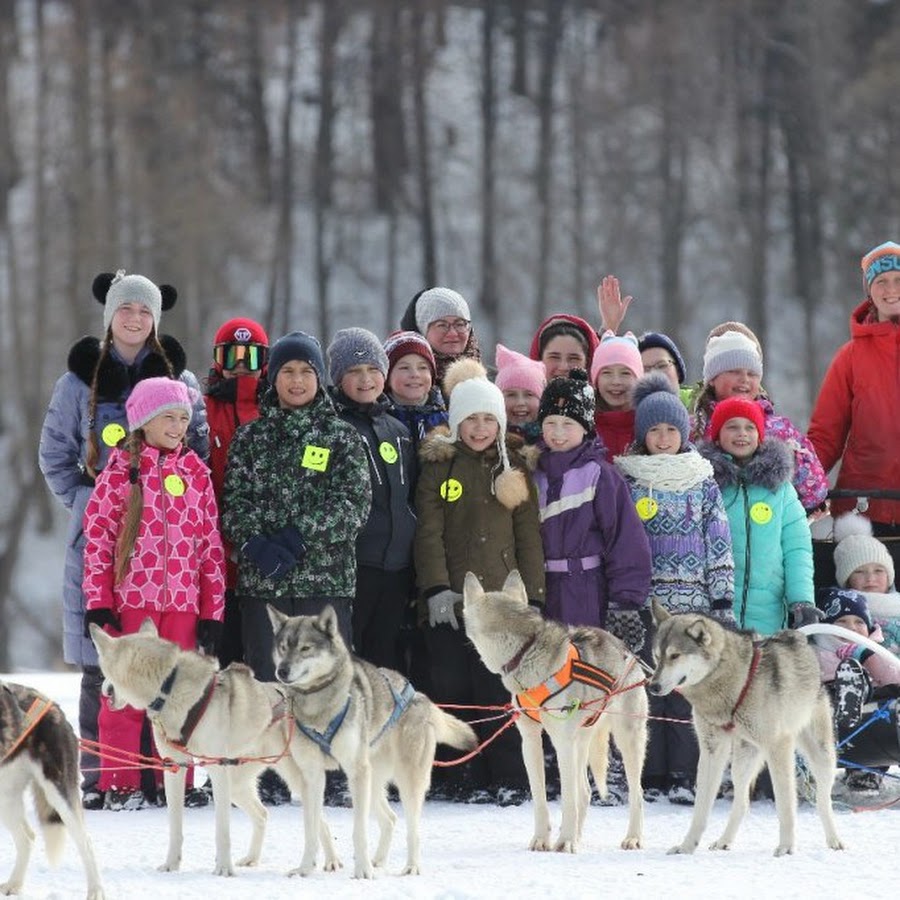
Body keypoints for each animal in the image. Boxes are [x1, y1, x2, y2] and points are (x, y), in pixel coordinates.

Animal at [0, 684, 103, 900]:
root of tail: (52, 704)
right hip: (5, 799)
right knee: (27, 838)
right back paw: (15, 883)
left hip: (59, 791)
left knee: (86, 841)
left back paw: (96, 890)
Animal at [89, 624, 340, 876]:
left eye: (103, 671)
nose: (103, 688)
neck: (168, 687)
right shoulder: (174, 767)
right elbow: (175, 826)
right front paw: (171, 864)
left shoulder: (218, 769)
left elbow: (222, 831)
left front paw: (223, 868)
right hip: (237, 783)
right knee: (262, 814)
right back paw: (252, 858)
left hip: (294, 778)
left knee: (320, 821)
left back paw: (331, 861)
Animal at [268, 604, 478, 880]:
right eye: (283, 647)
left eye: (305, 648)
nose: (281, 671)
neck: (317, 706)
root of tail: (421, 696)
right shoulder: (311, 775)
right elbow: (311, 829)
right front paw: (304, 868)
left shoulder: (355, 771)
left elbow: (359, 831)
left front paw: (363, 872)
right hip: (371, 780)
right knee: (390, 819)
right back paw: (378, 860)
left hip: (402, 780)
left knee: (413, 828)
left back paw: (410, 866)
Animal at [464, 572, 648, 856]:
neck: (525, 650)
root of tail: (625, 648)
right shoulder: (530, 740)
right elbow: (540, 798)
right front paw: (543, 839)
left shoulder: (562, 742)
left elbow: (567, 799)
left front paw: (567, 842)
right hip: (582, 740)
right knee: (585, 792)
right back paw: (578, 836)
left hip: (627, 739)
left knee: (636, 793)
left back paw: (632, 838)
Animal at [648, 604, 844, 856]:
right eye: (656, 656)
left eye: (674, 655)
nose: (653, 686)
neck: (734, 682)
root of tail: (798, 637)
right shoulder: (712, 750)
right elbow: (701, 808)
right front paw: (687, 846)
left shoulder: (778, 746)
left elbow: (785, 804)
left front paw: (786, 846)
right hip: (742, 761)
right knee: (742, 802)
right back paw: (724, 840)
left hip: (822, 756)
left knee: (822, 801)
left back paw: (834, 839)